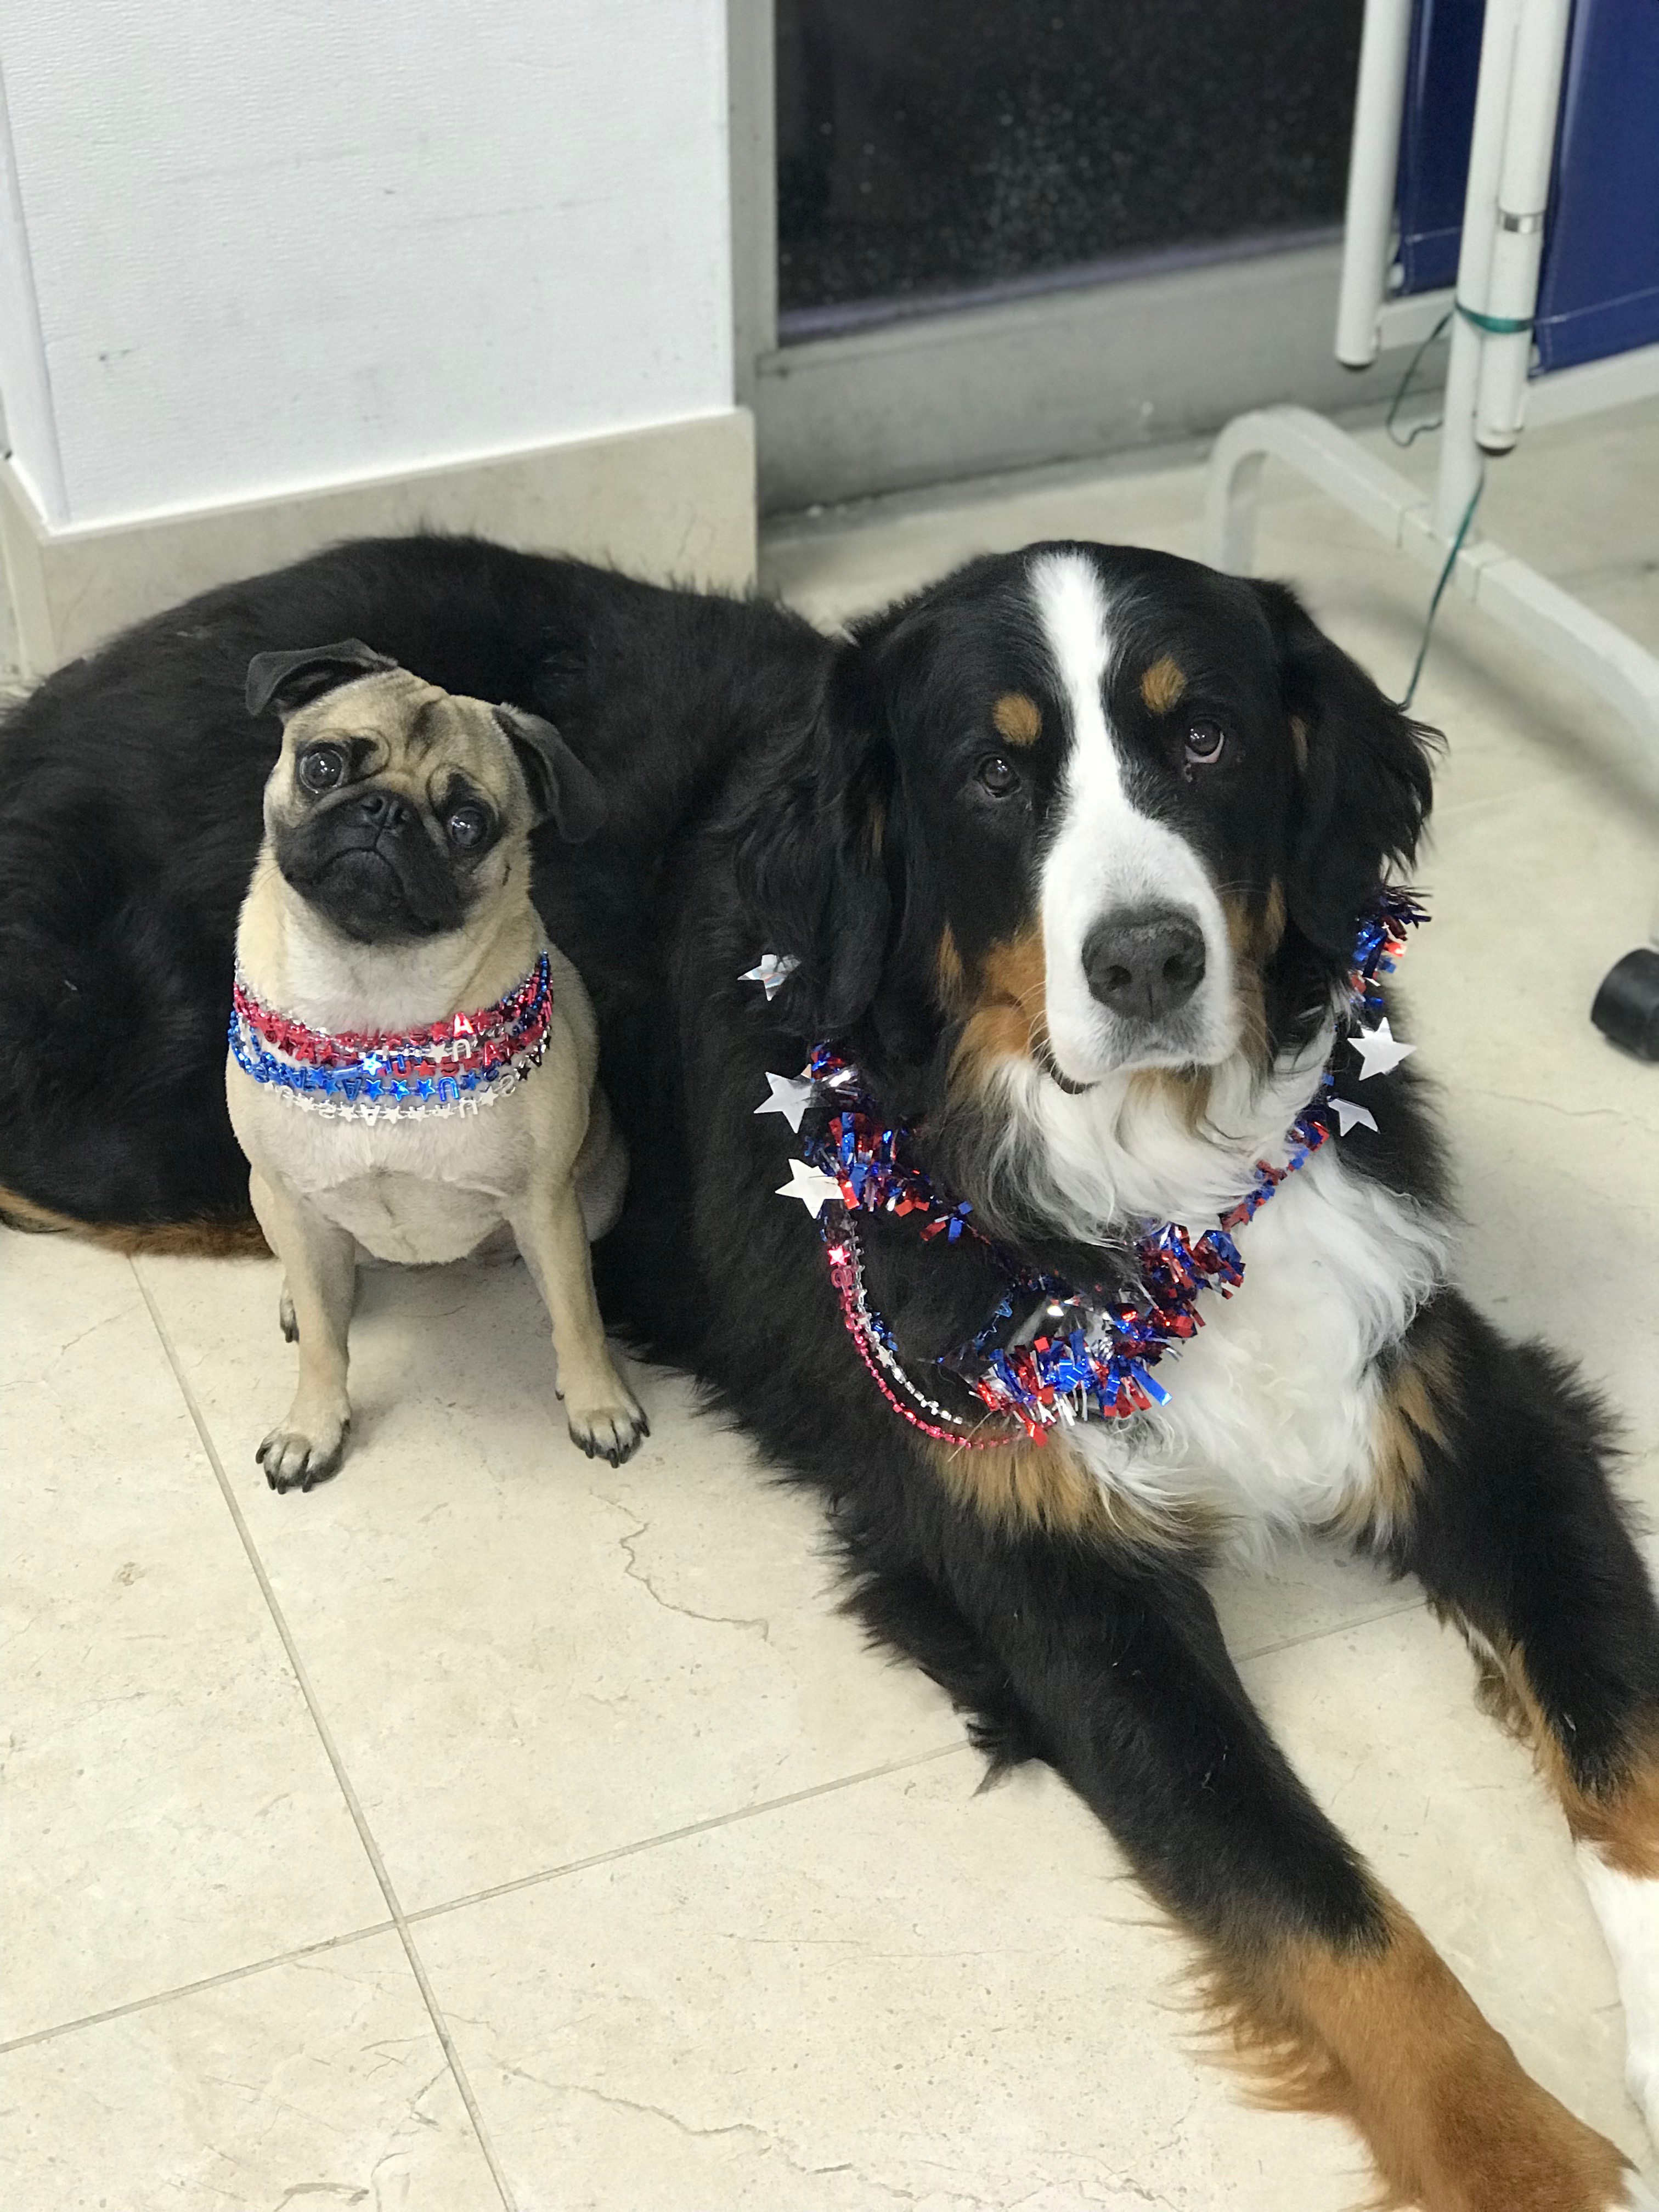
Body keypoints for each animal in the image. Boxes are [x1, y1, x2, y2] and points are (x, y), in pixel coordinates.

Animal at [3, 535, 1659, 2212]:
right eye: (991, 775)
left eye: (1205, 739)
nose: (1147, 959)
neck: (1142, 1182)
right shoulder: (1052, 1582)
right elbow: (1320, 1908)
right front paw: (1529, 2156)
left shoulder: (1443, 1391)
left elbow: (1623, 1730)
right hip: (162, 1103)